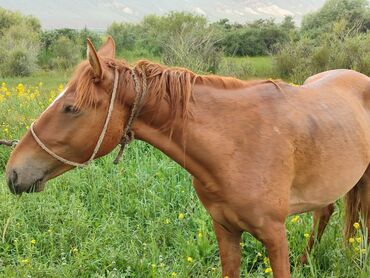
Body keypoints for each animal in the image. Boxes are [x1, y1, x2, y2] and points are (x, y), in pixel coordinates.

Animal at [3, 37, 370, 278]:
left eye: (71, 108)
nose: (13, 172)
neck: (237, 145)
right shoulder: (225, 229)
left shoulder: (274, 235)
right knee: (326, 212)